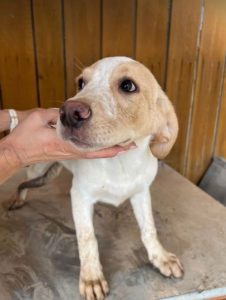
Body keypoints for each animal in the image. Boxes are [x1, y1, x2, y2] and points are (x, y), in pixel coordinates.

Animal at [7, 56, 183, 300]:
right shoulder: (81, 197)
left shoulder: (141, 193)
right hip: (37, 168)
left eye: (128, 85)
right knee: (24, 180)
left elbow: (149, 229)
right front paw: (91, 278)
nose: (68, 112)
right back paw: (19, 197)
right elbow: (87, 238)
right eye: (81, 83)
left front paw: (160, 257)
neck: (121, 165)